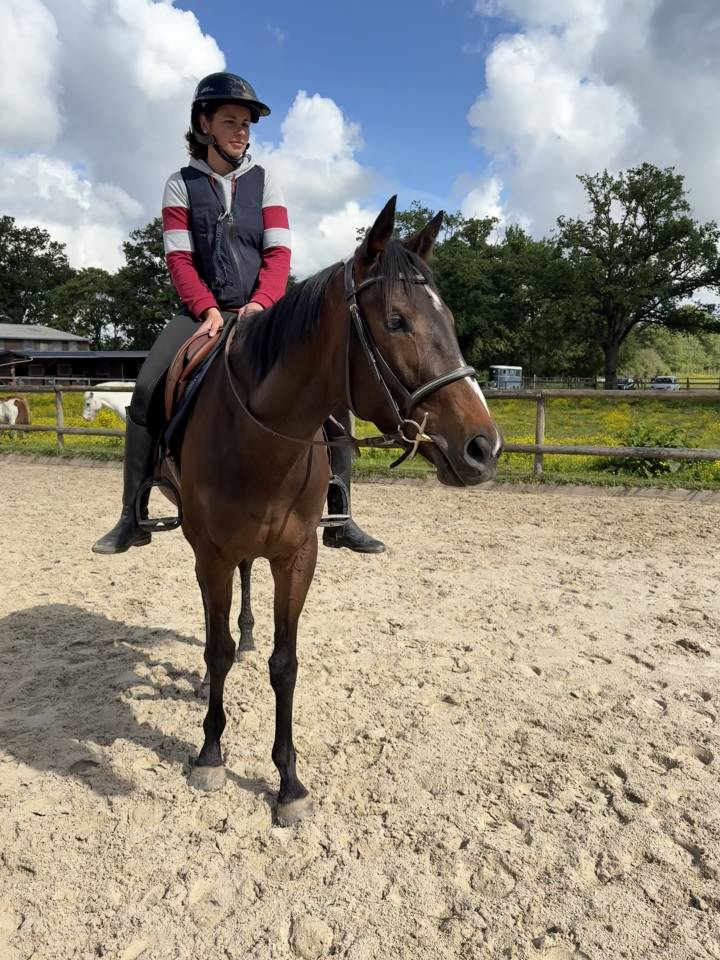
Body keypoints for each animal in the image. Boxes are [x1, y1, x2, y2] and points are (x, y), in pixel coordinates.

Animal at [166, 197, 503, 823]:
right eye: (396, 321)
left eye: (447, 320)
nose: (483, 447)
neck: (259, 440)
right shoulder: (212, 554)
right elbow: (216, 649)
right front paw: (210, 753)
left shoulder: (298, 556)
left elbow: (285, 664)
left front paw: (289, 782)